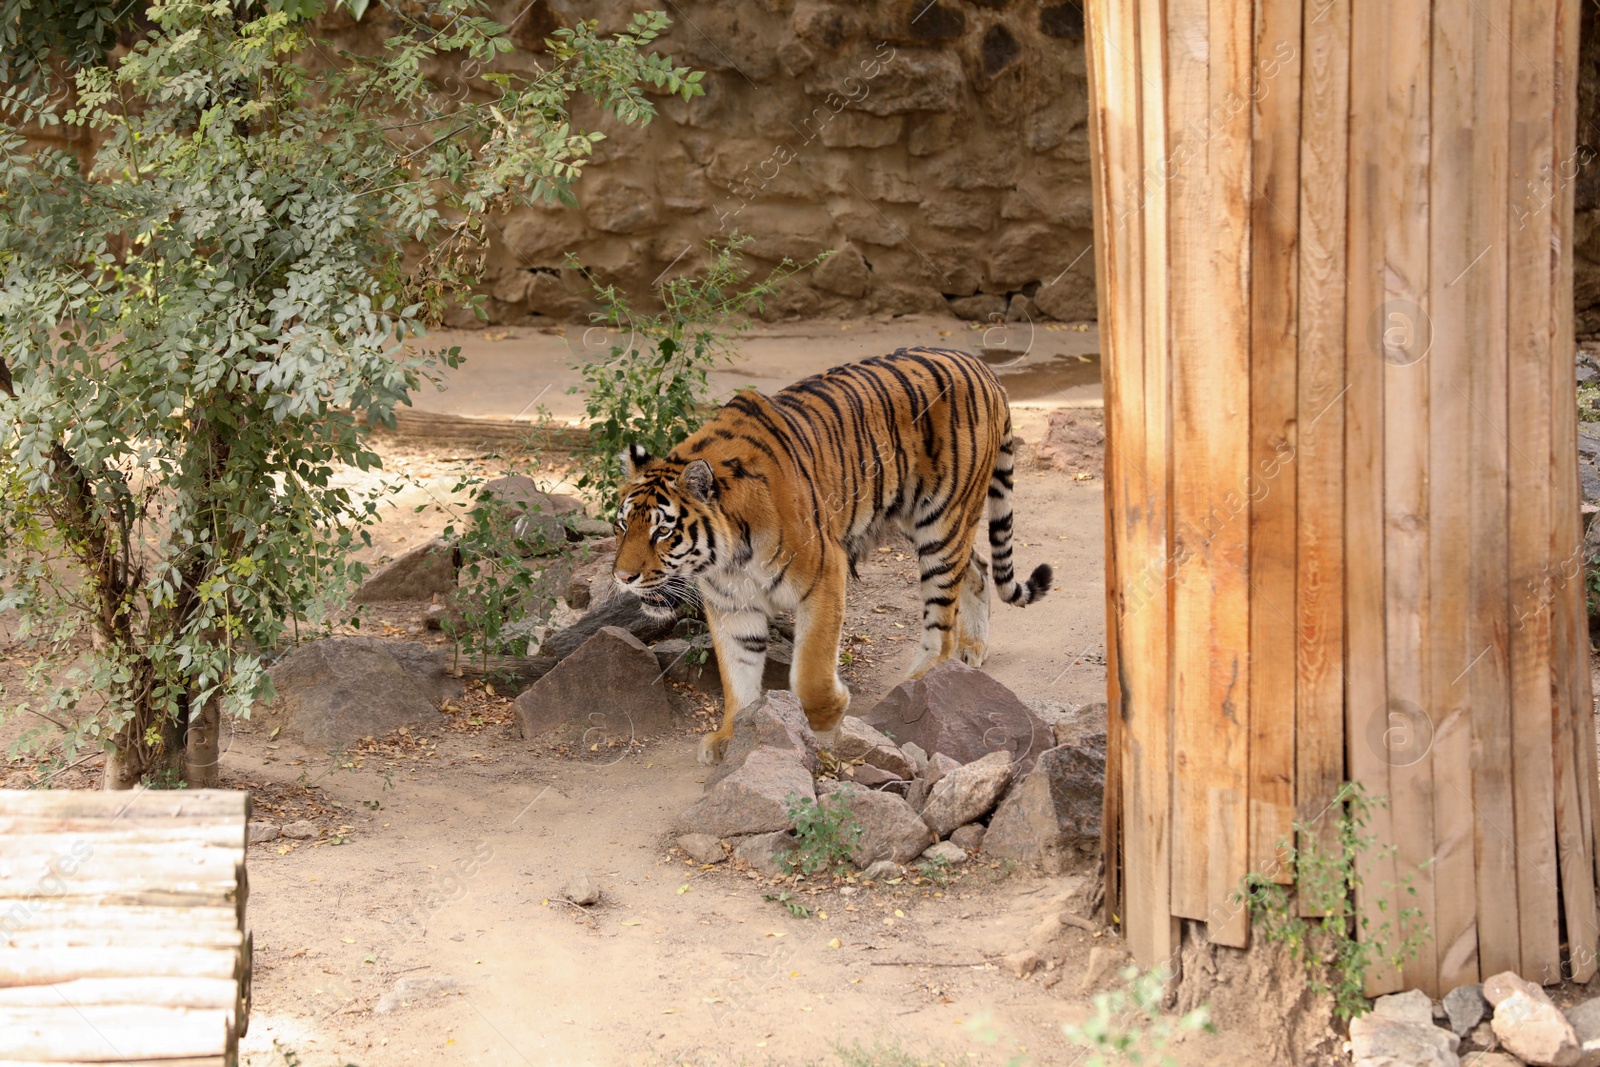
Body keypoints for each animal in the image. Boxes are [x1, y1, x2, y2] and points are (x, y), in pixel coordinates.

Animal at [608, 347, 1049, 764]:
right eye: (622, 525)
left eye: (663, 532)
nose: (623, 578)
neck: (729, 556)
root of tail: (980, 365)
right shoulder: (732, 603)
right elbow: (738, 673)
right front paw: (732, 735)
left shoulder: (823, 575)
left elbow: (811, 670)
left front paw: (826, 716)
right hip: (923, 520)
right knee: (977, 567)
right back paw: (972, 648)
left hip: (942, 521)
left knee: (942, 625)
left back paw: (914, 683)